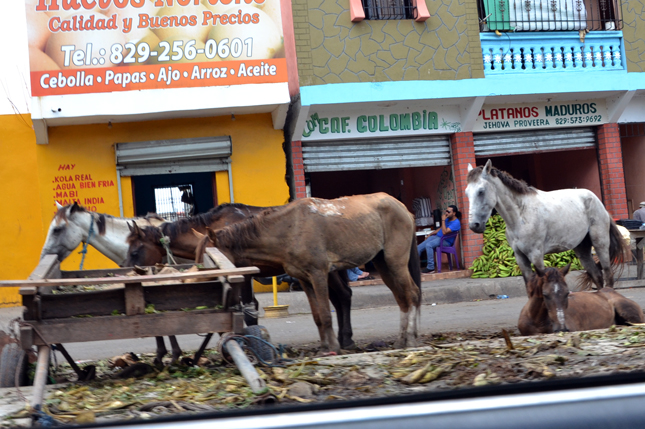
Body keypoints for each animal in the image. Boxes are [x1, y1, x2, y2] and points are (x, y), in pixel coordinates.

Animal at [124, 202, 358, 350]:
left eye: (134, 251)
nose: (127, 271)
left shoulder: (244, 274)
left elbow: (248, 310)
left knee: (343, 296)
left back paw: (345, 339)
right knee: (338, 298)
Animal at [191, 192, 422, 352]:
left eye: (212, 258)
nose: (198, 284)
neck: (289, 229)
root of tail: (401, 207)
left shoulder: (318, 274)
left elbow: (326, 315)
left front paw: (333, 348)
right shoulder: (304, 279)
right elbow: (317, 316)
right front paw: (324, 346)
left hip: (395, 262)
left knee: (412, 294)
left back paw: (410, 339)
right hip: (383, 264)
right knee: (402, 298)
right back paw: (401, 340)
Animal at [466, 159, 628, 290]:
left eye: (481, 191)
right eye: (467, 193)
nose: (474, 225)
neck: (521, 215)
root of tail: (597, 201)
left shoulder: (537, 256)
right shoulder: (520, 258)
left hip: (600, 244)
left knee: (608, 276)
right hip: (582, 249)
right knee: (597, 276)